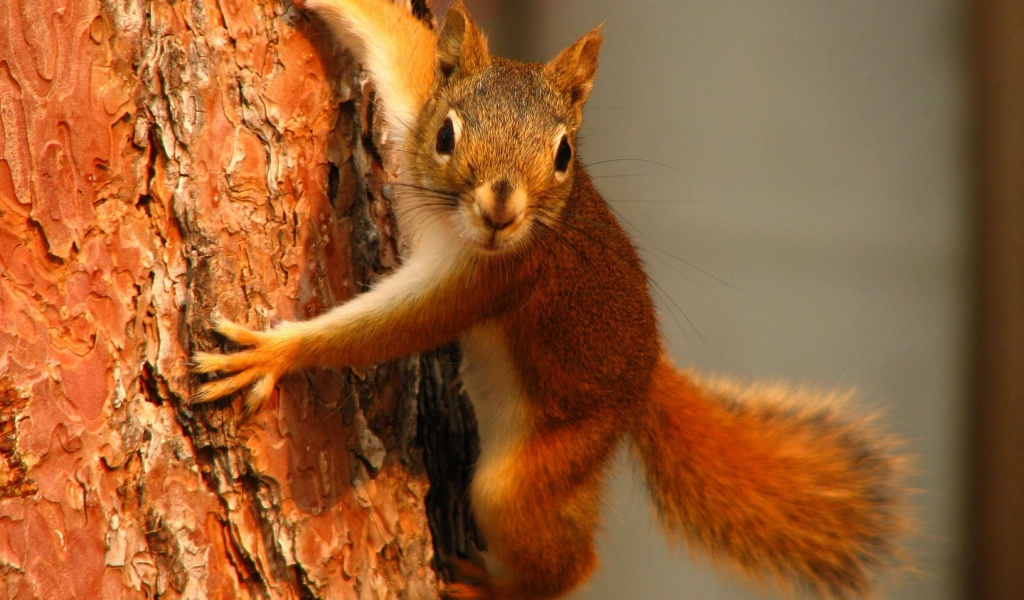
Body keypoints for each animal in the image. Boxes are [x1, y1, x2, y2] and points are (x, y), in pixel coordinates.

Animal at [192, 2, 905, 593]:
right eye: (446, 134)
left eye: (564, 153)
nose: (501, 211)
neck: (451, 221)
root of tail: (646, 376)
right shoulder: (414, 100)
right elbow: (399, 40)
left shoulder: (494, 278)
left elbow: (391, 328)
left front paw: (275, 353)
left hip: (543, 466)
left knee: (566, 561)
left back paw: (489, 585)